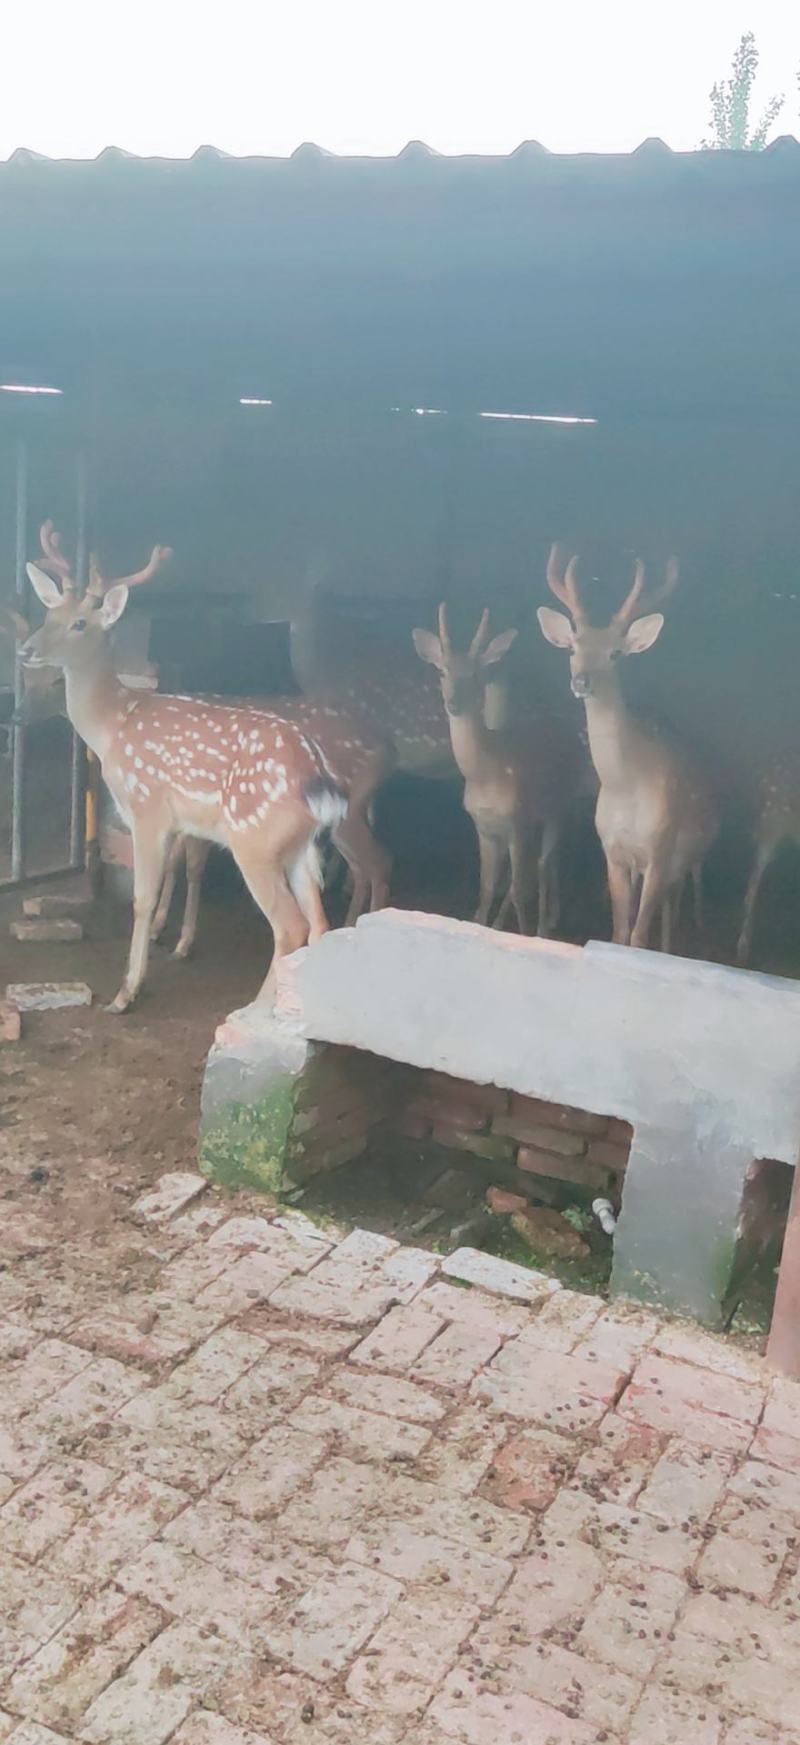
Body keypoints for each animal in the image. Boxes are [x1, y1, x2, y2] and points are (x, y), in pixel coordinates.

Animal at [20, 522, 348, 1012]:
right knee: (320, 922)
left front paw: (126, 993)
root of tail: (317, 775)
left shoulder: (147, 808)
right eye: (49, 613)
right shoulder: (179, 823)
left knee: (290, 925)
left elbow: (142, 898)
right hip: (300, 847)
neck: (113, 724)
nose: (25, 650)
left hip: (254, 840)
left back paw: (253, 1007)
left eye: (80, 623)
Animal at [412, 603, 581, 934]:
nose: (453, 703)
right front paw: (482, 922)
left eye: (476, 674)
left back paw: (544, 926)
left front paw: (525, 932)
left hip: (560, 804)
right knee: (545, 863)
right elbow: (487, 887)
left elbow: (517, 888)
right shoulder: (484, 827)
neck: (488, 773)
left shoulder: (517, 821)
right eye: (442, 671)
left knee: (543, 863)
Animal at [537, 546, 718, 952]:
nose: (581, 681)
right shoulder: (613, 852)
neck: (626, 788)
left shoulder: (660, 850)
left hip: (689, 854)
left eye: (616, 653)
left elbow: (637, 935)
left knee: (675, 903)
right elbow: (619, 931)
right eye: (572, 646)